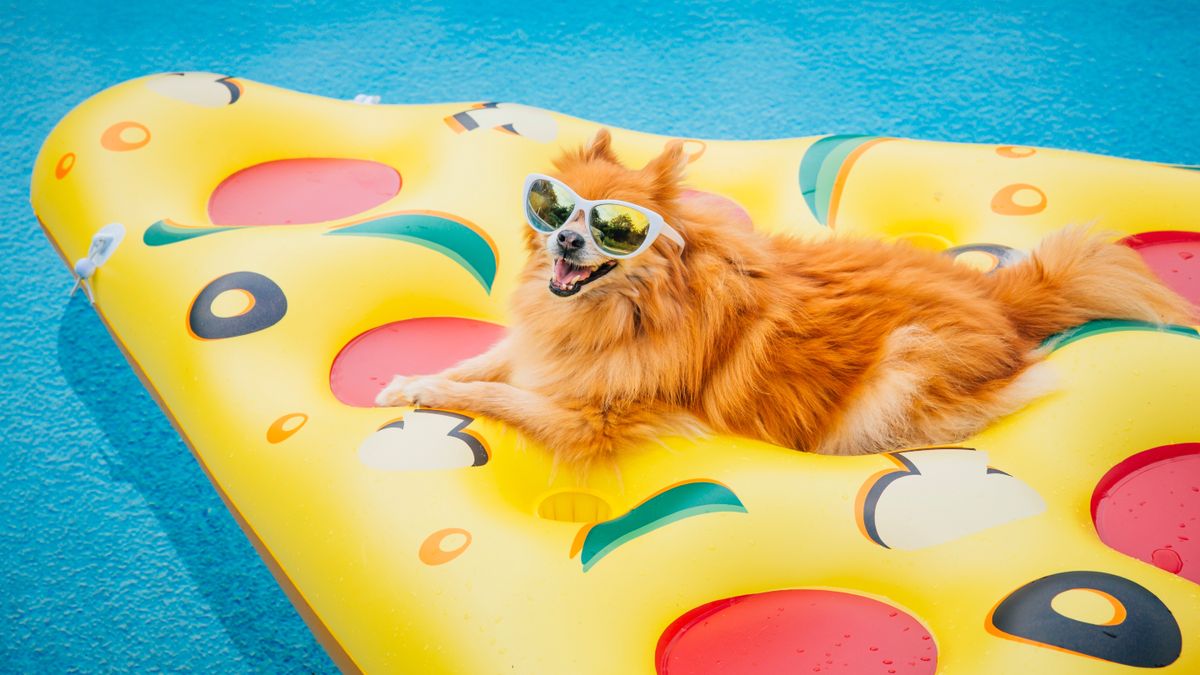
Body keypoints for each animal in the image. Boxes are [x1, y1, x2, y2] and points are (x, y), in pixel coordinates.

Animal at [372, 128, 1190, 466]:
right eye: (555, 209)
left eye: (617, 230)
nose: (568, 241)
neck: (625, 312)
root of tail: (998, 298)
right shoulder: (543, 350)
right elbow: (483, 363)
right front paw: (413, 380)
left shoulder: (596, 419)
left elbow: (497, 395)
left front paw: (436, 392)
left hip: (903, 366)